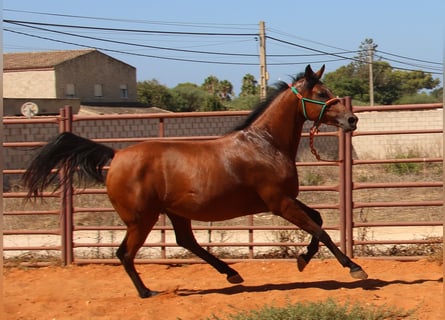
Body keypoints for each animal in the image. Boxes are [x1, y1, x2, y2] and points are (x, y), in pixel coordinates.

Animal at [22, 64, 366, 298]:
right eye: (321, 94)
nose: (352, 119)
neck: (265, 144)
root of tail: (116, 156)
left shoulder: (286, 200)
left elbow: (318, 220)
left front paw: (302, 260)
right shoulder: (279, 203)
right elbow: (319, 229)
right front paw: (353, 268)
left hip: (174, 213)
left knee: (185, 241)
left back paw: (231, 274)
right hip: (141, 218)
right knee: (126, 254)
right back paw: (146, 292)